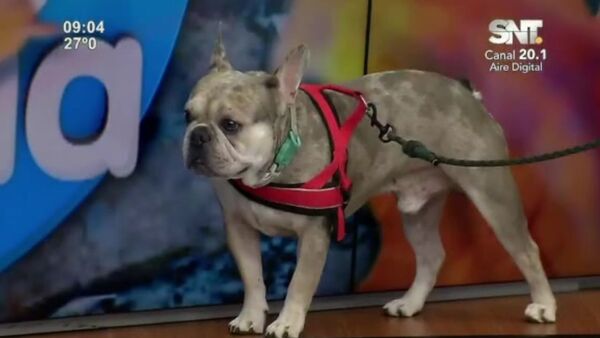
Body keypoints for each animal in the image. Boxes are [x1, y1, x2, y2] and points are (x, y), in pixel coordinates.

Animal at [183, 33, 556, 338]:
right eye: (187, 115)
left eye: (230, 125)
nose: (197, 135)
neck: (270, 169)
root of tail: (467, 93)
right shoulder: (240, 228)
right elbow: (253, 278)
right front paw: (250, 317)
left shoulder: (313, 235)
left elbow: (299, 283)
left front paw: (286, 323)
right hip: (418, 213)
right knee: (432, 256)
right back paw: (409, 303)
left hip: (492, 193)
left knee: (527, 250)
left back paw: (544, 306)